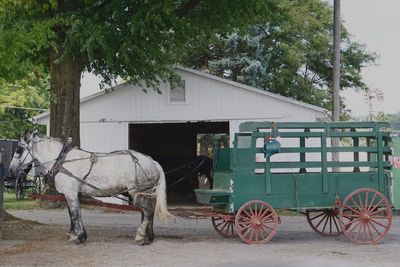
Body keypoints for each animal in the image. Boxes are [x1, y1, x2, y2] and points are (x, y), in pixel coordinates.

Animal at [9, 131, 171, 246]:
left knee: (147, 212)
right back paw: (149, 237)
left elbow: (75, 214)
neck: (62, 161)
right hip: (145, 193)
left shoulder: (71, 193)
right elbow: (72, 214)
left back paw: (140, 236)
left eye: (18, 149)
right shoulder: (71, 194)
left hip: (137, 192)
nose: (11, 171)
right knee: (148, 212)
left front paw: (79, 237)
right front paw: (74, 234)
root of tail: (152, 161)